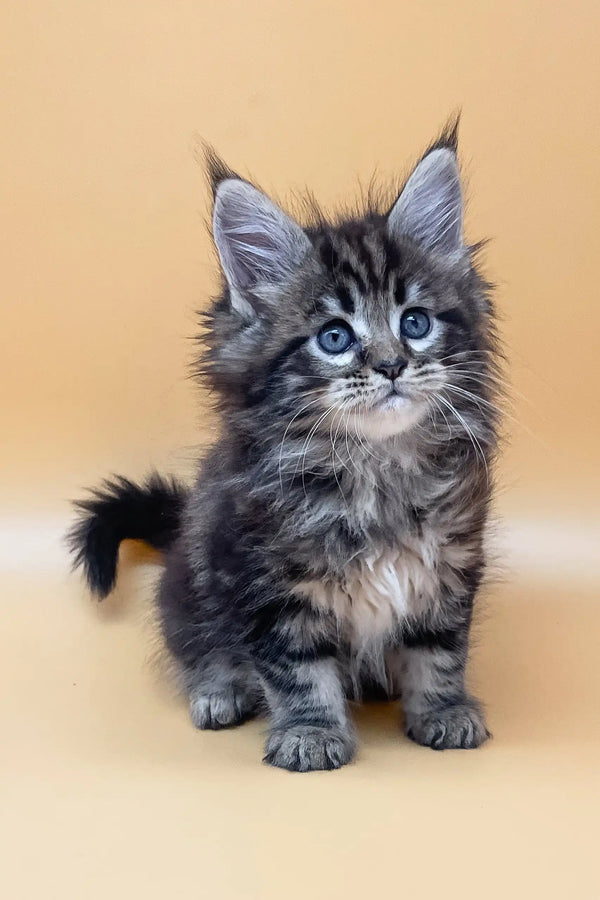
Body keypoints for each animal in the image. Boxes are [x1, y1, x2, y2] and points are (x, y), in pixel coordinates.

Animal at [69, 123, 502, 772]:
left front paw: (443, 710)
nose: (392, 365)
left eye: (416, 323)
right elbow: (297, 669)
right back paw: (219, 691)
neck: (375, 470)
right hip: (189, 589)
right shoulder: (265, 582)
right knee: (197, 648)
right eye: (334, 338)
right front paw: (310, 732)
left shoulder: (449, 568)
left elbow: (440, 651)